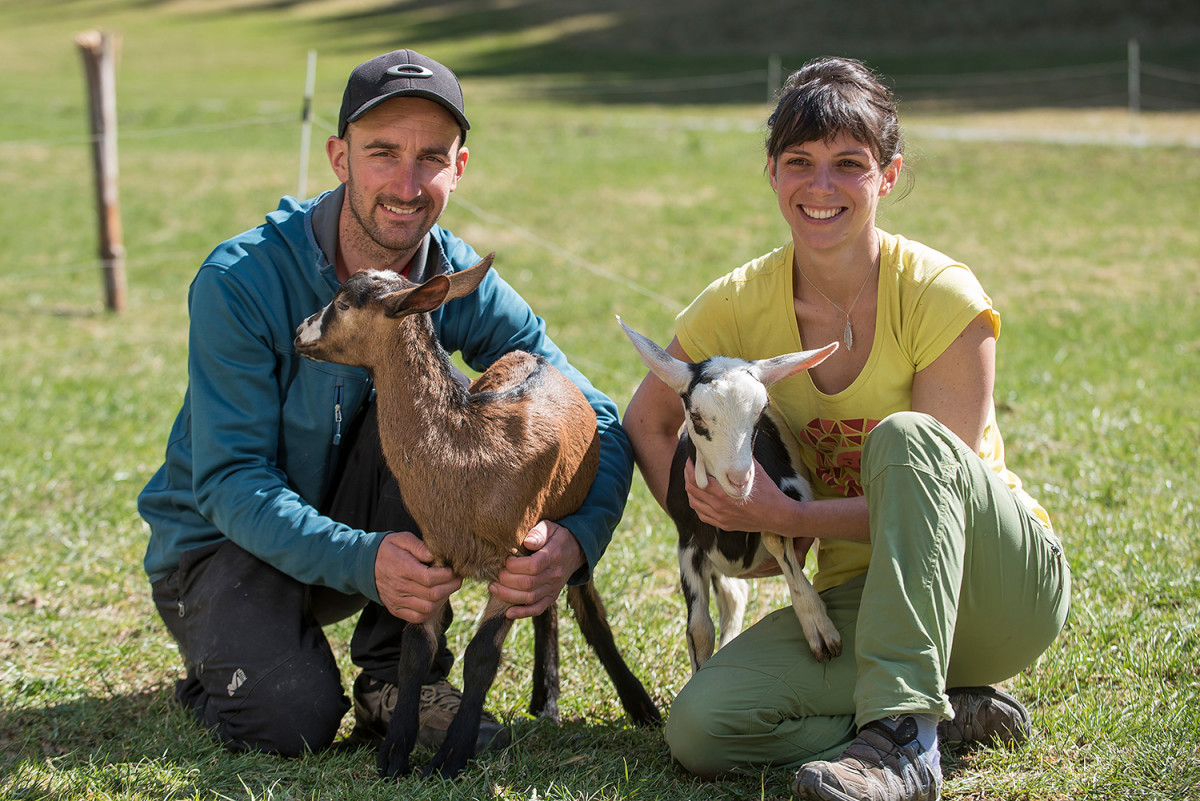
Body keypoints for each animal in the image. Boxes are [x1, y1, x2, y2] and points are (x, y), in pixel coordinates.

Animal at [296, 255, 662, 777]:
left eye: (344, 303)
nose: (299, 332)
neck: (468, 455)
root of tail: (539, 357)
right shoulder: (434, 554)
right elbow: (415, 651)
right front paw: (395, 753)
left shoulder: (515, 555)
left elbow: (482, 656)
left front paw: (452, 756)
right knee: (546, 610)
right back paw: (545, 700)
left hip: (562, 524)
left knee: (586, 611)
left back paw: (639, 707)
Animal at [619, 318, 844, 671]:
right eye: (696, 414)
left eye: (761, 411)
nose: (739, 479)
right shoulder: (688, 541)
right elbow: (699, 631)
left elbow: (780, 544)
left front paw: (820, 630)